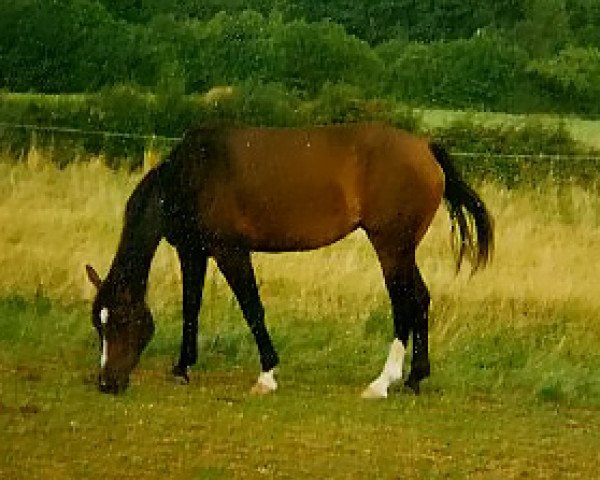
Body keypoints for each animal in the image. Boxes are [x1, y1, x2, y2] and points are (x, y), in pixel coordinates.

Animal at [85, 124, 496, 398]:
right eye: (98, 324)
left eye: (120, 320)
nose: (107, 383)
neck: (195, 172)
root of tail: (426, 147)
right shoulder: (193, 251)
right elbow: (191, 307)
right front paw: (182, 368)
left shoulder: (230, 250)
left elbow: (252, 308)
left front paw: (267, 374)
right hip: (402, 249)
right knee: (420, 300)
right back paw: (414, 379)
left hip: (391, 247)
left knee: (403, 304)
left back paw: (382, 383)